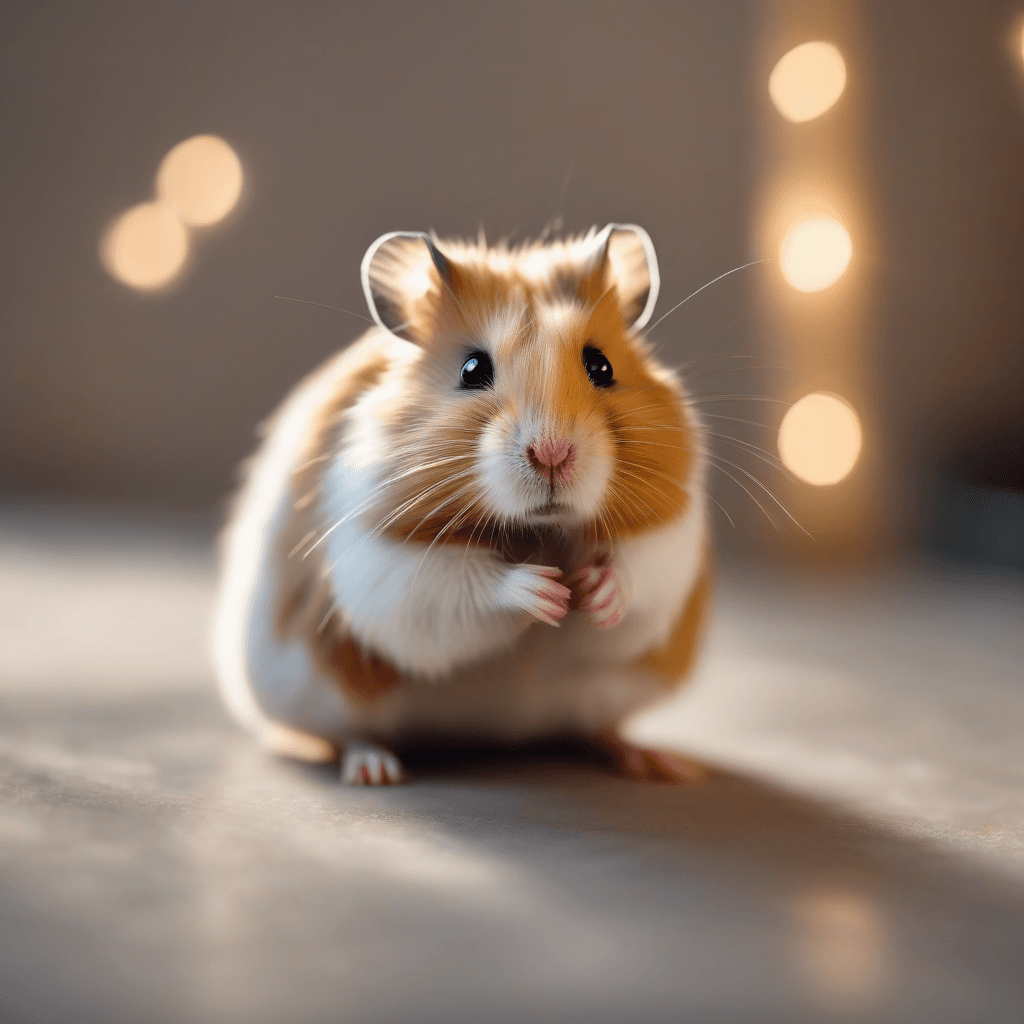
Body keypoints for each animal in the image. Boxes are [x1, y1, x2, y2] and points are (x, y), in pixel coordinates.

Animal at [212, 225, 712, 784]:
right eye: (472, 369)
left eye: (600, 365)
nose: (553, 453)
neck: (539, 531)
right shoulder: (382, 563)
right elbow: (463, 586)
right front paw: (548, 593)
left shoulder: (670, 538)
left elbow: (637, 576)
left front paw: (592, 589)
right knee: (349, 734)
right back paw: (375, 770)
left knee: (597, 727)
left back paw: (657, 763)